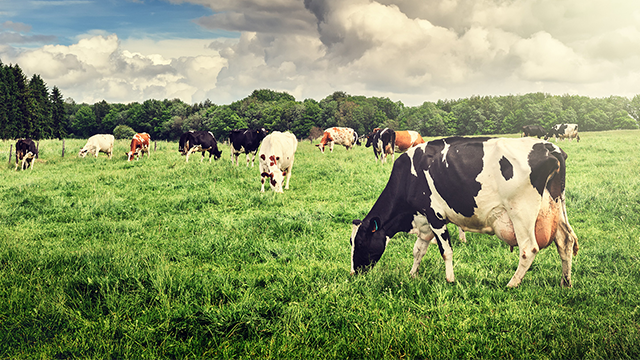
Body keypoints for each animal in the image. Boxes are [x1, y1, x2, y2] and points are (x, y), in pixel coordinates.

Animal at [350, 136, 580, 288]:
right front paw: (412, 274)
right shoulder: (423, 220)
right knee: (565, 240)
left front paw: (450, 279)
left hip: (521, 212)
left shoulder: (435, 216)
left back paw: (511, 284)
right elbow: (418, 250)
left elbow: (446, 251)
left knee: (529, 249)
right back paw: (566, 282)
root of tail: (550, 147)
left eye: (360, 242)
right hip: (555, 205)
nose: (353, 273)